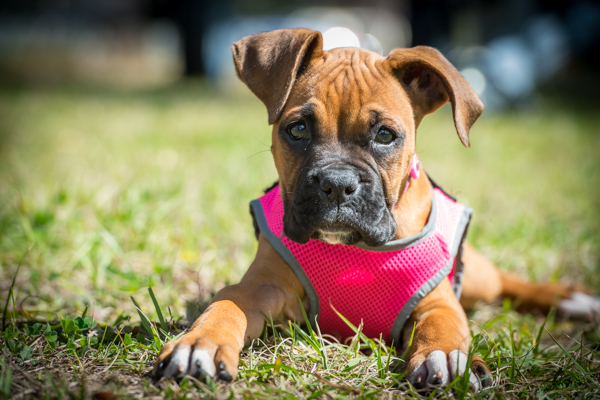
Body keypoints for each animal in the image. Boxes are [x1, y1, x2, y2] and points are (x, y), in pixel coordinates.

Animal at [152, 28, 596, 390]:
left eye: (385, 135)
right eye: (297, 130)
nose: (336, 185)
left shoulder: (438, 300)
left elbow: (444, 324)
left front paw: (446, 357)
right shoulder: (259, 286)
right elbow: (226, 305)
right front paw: (200, 343)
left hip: (476, 279)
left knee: (504, 281)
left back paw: (575, 300)